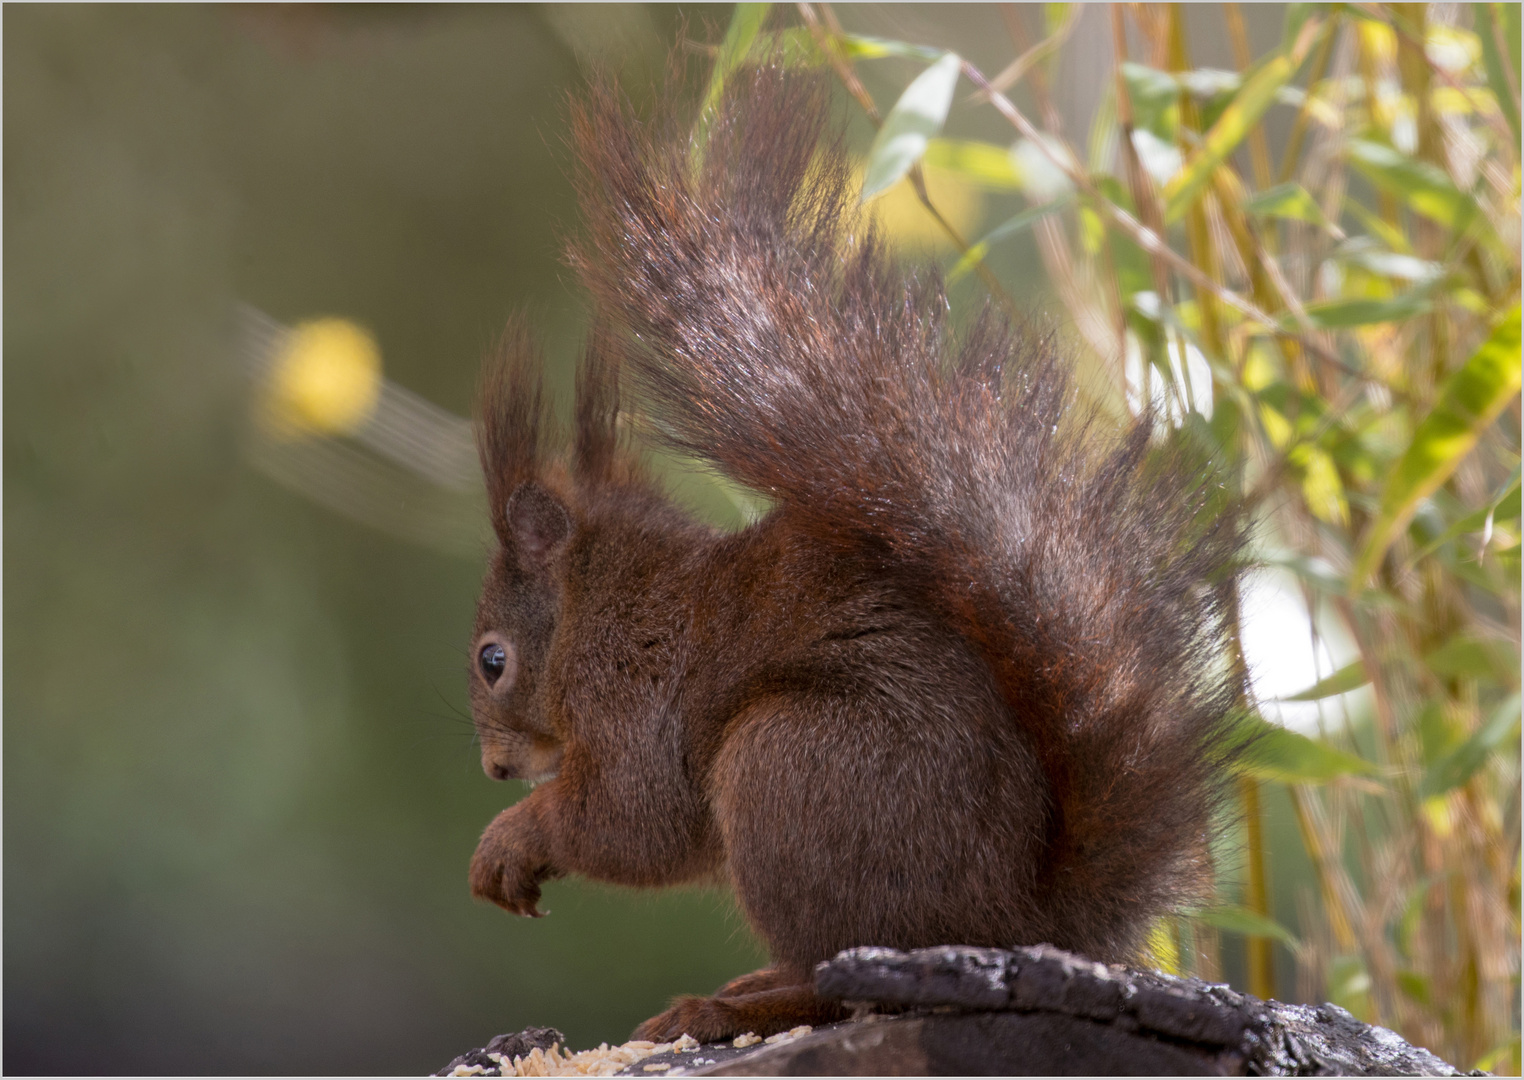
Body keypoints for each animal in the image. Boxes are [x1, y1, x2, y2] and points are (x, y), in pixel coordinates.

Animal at [463, 60, 1249, 1041]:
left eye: (492, 660)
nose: (494, 769)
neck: (599, 603)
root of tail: (1016, 919)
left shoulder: (631, 697)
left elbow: (632, 822)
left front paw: (510, 838)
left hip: (787, 770)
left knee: (838, 976)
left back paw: (724, 1007)